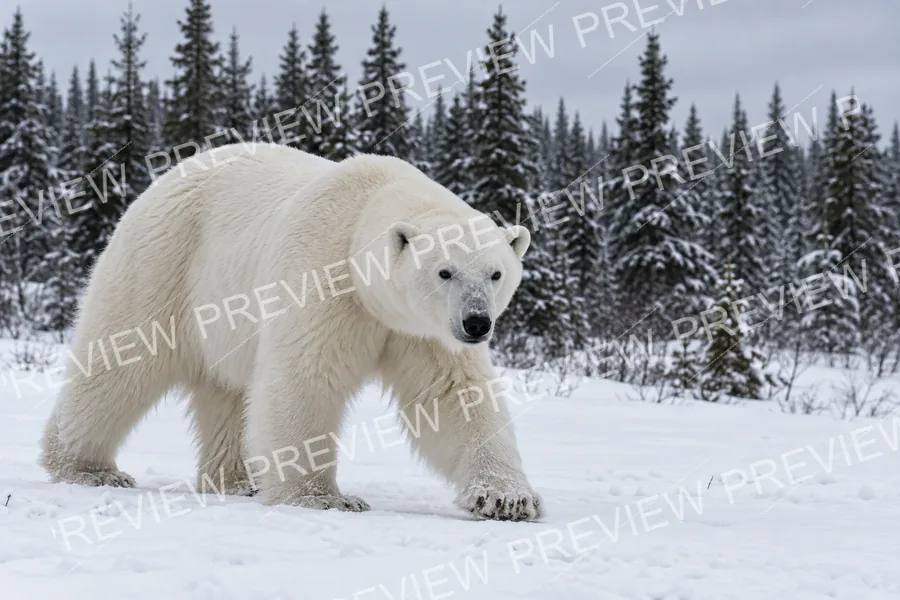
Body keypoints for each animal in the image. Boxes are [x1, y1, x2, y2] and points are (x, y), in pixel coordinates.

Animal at [40, 142, 541, 521]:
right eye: (444, 271)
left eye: (496, 273)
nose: (476, 323)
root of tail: (164, 178)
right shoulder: (322, 274)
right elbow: (306, 376)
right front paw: (325, 498)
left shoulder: (423, 333)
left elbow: (456, 395)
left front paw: (508, 498)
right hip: (164, 262)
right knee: (121, 361)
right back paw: (87, 467)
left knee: (229, 393)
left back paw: (234, 480)